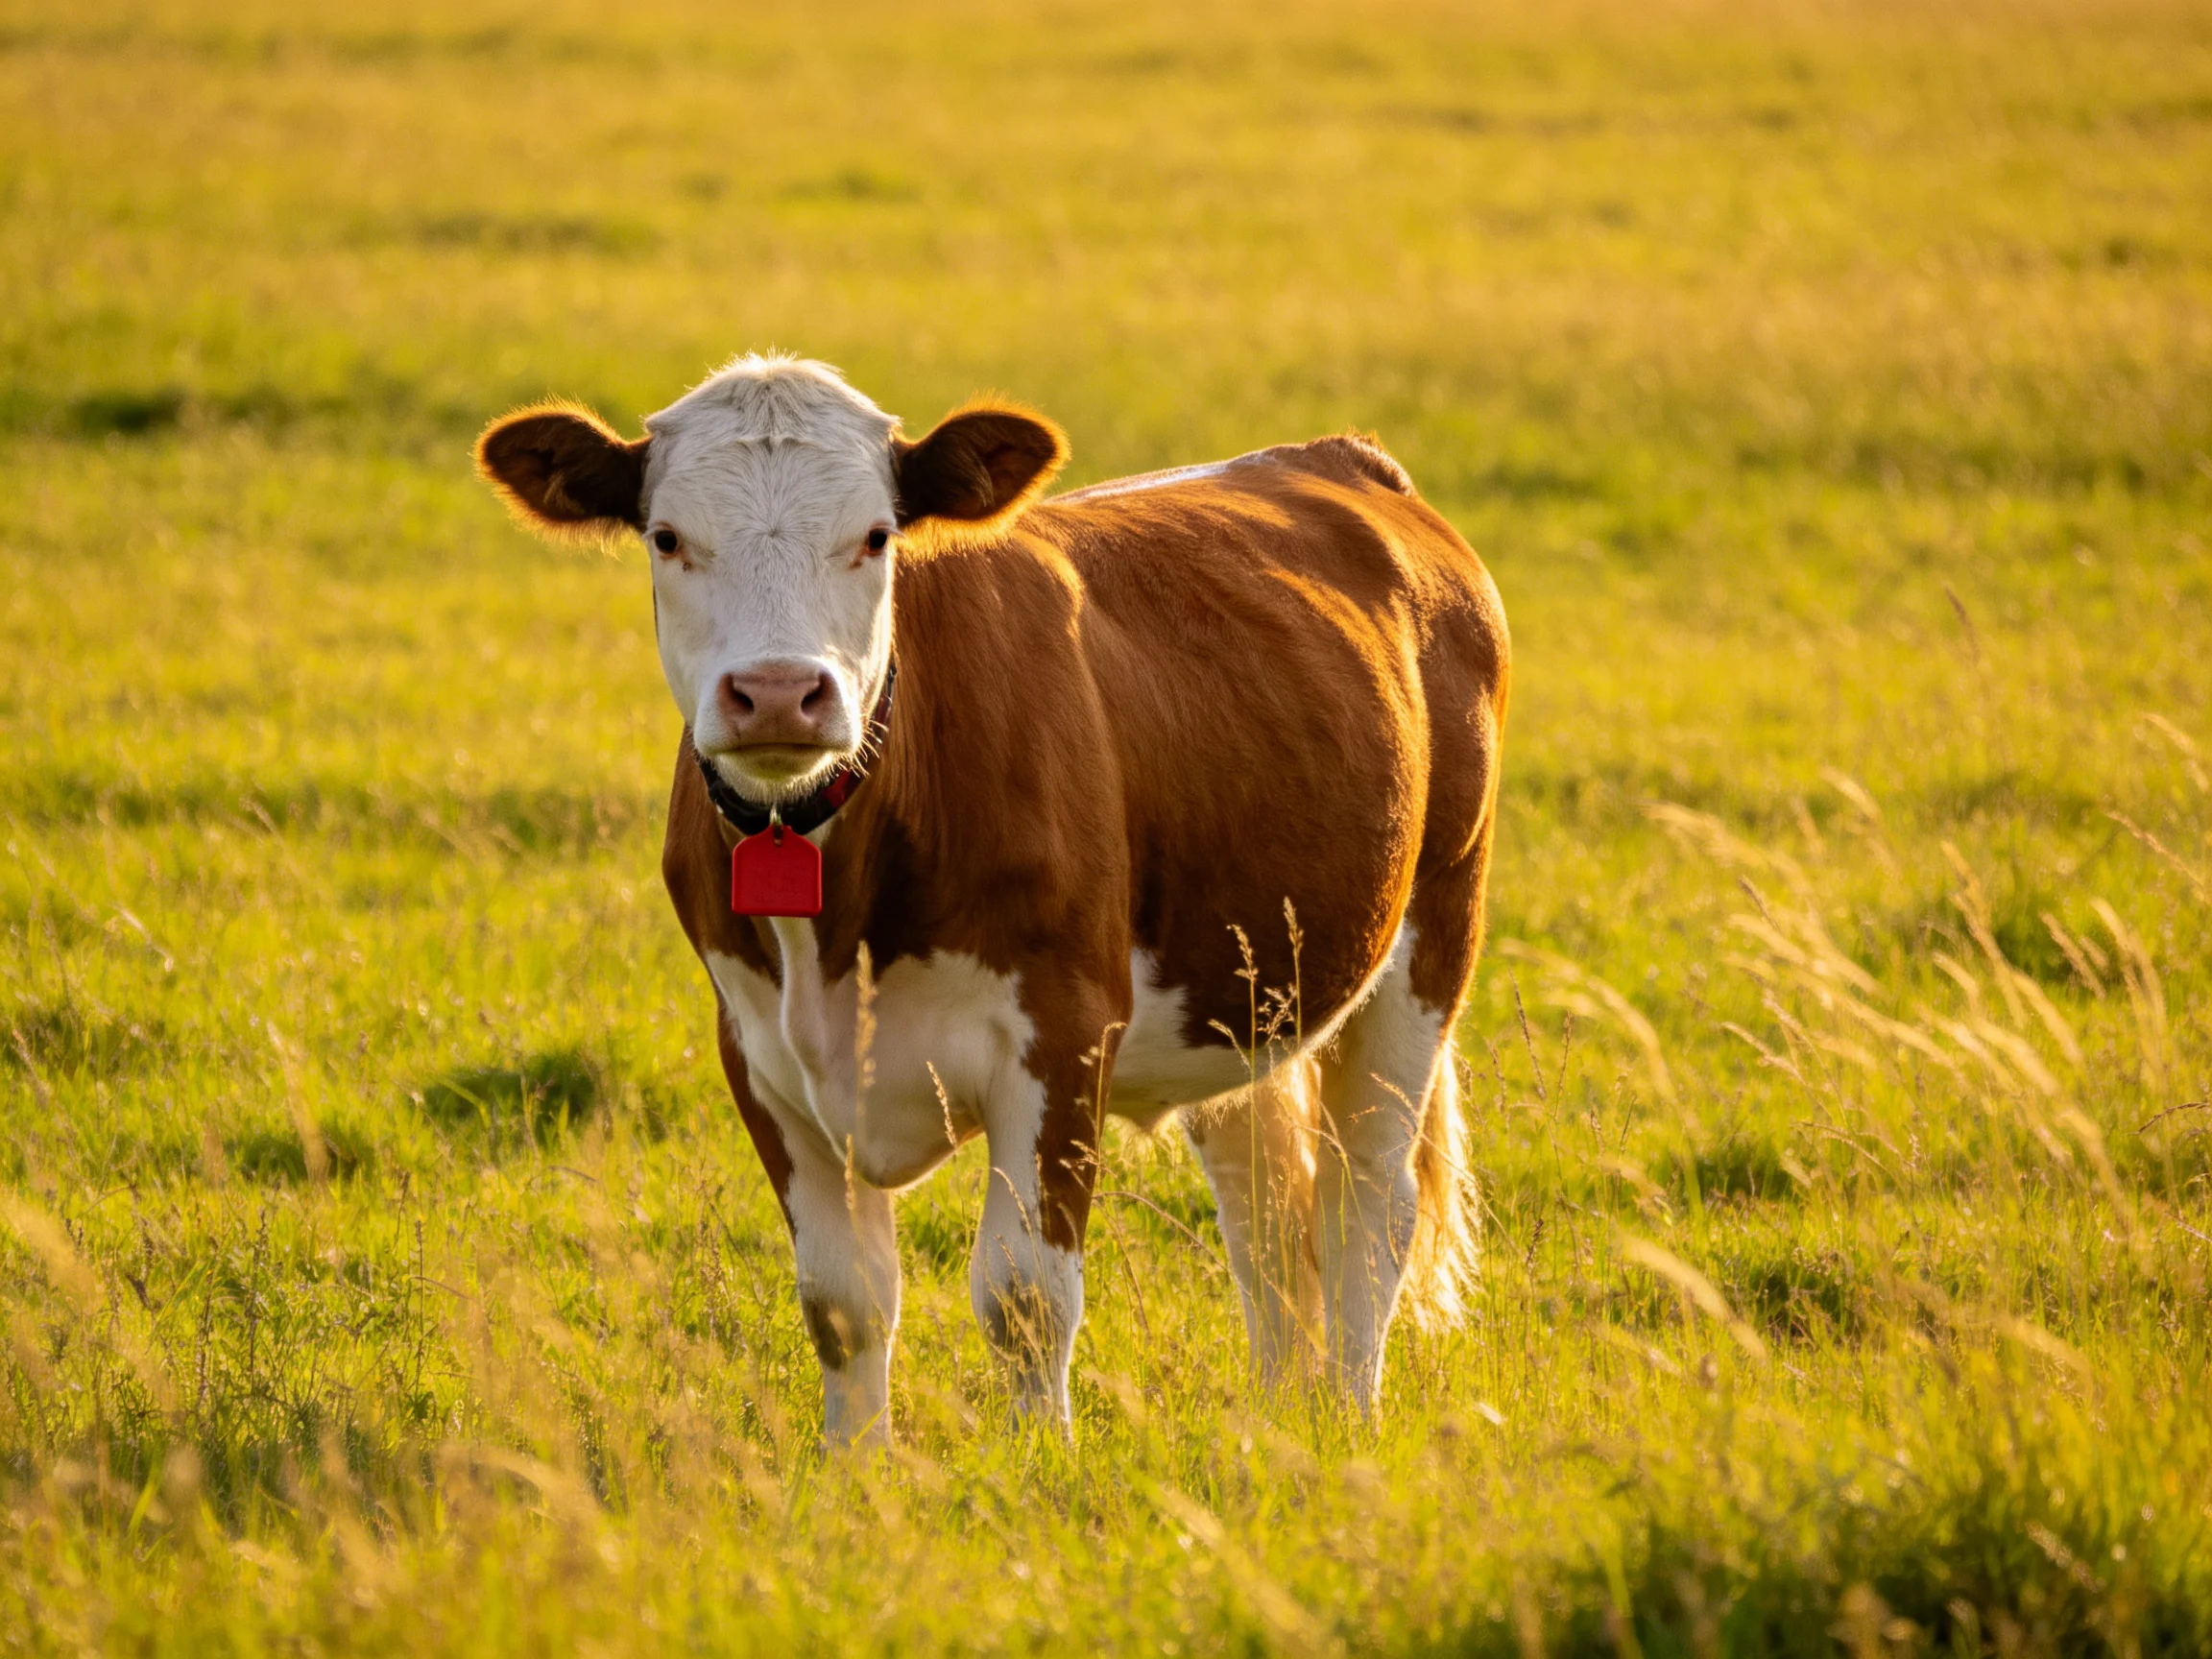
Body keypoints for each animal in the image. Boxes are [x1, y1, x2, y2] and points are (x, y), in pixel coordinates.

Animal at [475, 355, 1509, 1444]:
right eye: (668, 537)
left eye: (876, 535)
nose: (778, 692)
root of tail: (1340, 458)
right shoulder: (756, 1053)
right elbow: (842, 1301)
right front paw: (856, 1469)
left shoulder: (1063, 1034)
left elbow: (1023, 1293)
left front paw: (1039, 1460)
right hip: (1250, 976)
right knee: (1266, 1208)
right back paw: (1277, 1419)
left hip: (1431, 935)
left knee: (1368, 1203)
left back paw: (1348, 1414)